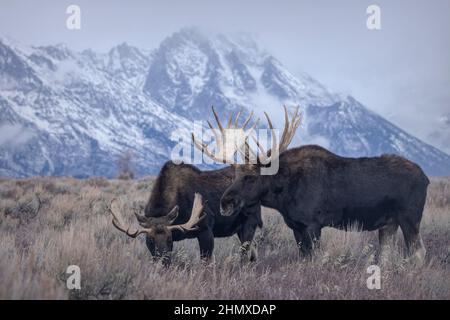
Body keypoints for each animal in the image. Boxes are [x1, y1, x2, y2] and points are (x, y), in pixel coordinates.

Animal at [221, 106, 428, 264]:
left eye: (251, 177)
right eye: (235, 175)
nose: (225, 203)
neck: (283, 196)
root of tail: (426, 178)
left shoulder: (313, 224)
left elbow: (316, 258)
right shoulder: (296, 226)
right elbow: (304, 257)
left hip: (409, 218)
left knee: (419, 252)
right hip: (389, 223)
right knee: (387, 255)